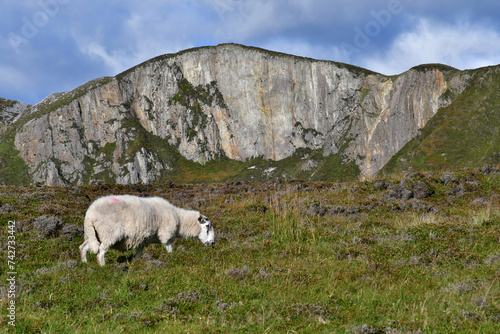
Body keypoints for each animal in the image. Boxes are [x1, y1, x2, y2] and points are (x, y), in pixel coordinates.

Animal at [79, 193, 214, 266]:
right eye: (207, 227)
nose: (212, 243)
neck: (179, 219)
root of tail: (90, 214)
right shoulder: (165, 233)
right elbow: (169, 247)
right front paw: (172, 258)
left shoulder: (142, 240)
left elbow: (139, 254)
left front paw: (135, 263)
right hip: (109, 233)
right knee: (101, 252)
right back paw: (103, 266)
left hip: (93, 234)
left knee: (84, 247)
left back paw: (85, 263)